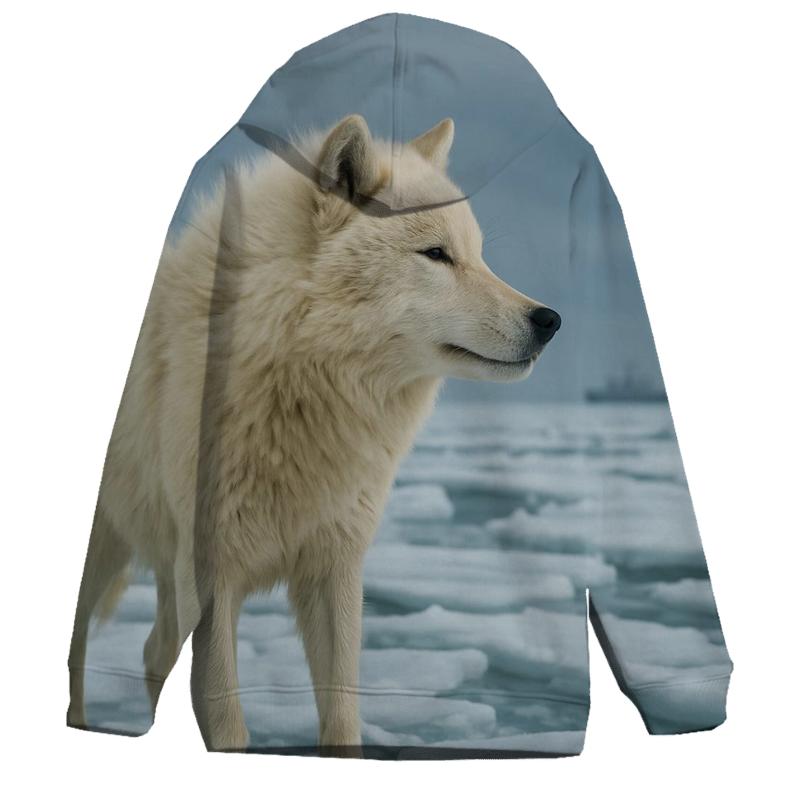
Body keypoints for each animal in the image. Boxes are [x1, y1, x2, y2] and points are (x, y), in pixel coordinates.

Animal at [67, 113, 561, 753]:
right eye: (436, 254)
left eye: (478, 255)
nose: (549, 320)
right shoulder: (213, 578)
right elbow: (228, 721)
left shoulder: (334, 569)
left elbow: (342, 713)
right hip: (107, 556)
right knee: (82, 652)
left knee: (153, 650)